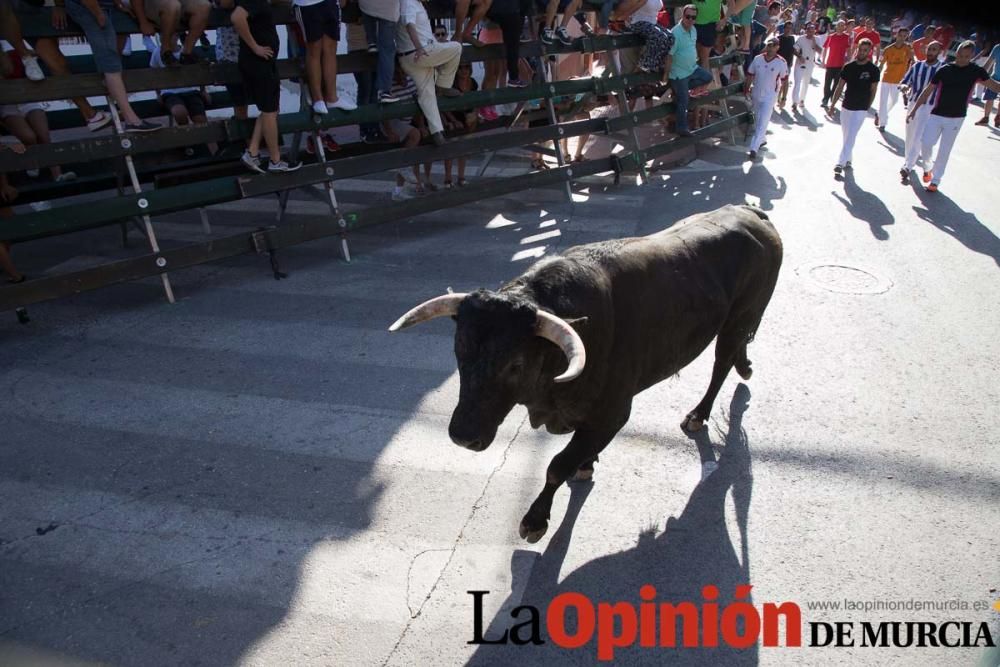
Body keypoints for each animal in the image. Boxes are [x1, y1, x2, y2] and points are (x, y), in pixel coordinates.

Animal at [390, 206, 780, 544]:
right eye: (460, 349)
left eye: (515, 364)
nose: (463, 436)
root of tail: (750, 212)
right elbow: (577, 453)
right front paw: (587, 463)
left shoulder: (613, 414)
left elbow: (556, 465)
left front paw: (535, 519)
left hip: (740, 317)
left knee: (721, 365)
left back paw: (698, 415)